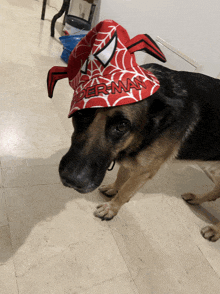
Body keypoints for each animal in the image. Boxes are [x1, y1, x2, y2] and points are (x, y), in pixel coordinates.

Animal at [58, 63, 220, 241]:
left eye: (122, 125)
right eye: (82, 112)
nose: (72, 180)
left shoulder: (144, 171)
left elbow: (125, 191)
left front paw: (111, 208)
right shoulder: (132, 161)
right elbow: (122, 176)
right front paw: (114, 188)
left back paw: (215, 230)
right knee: (216, 192)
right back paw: (196, 199)